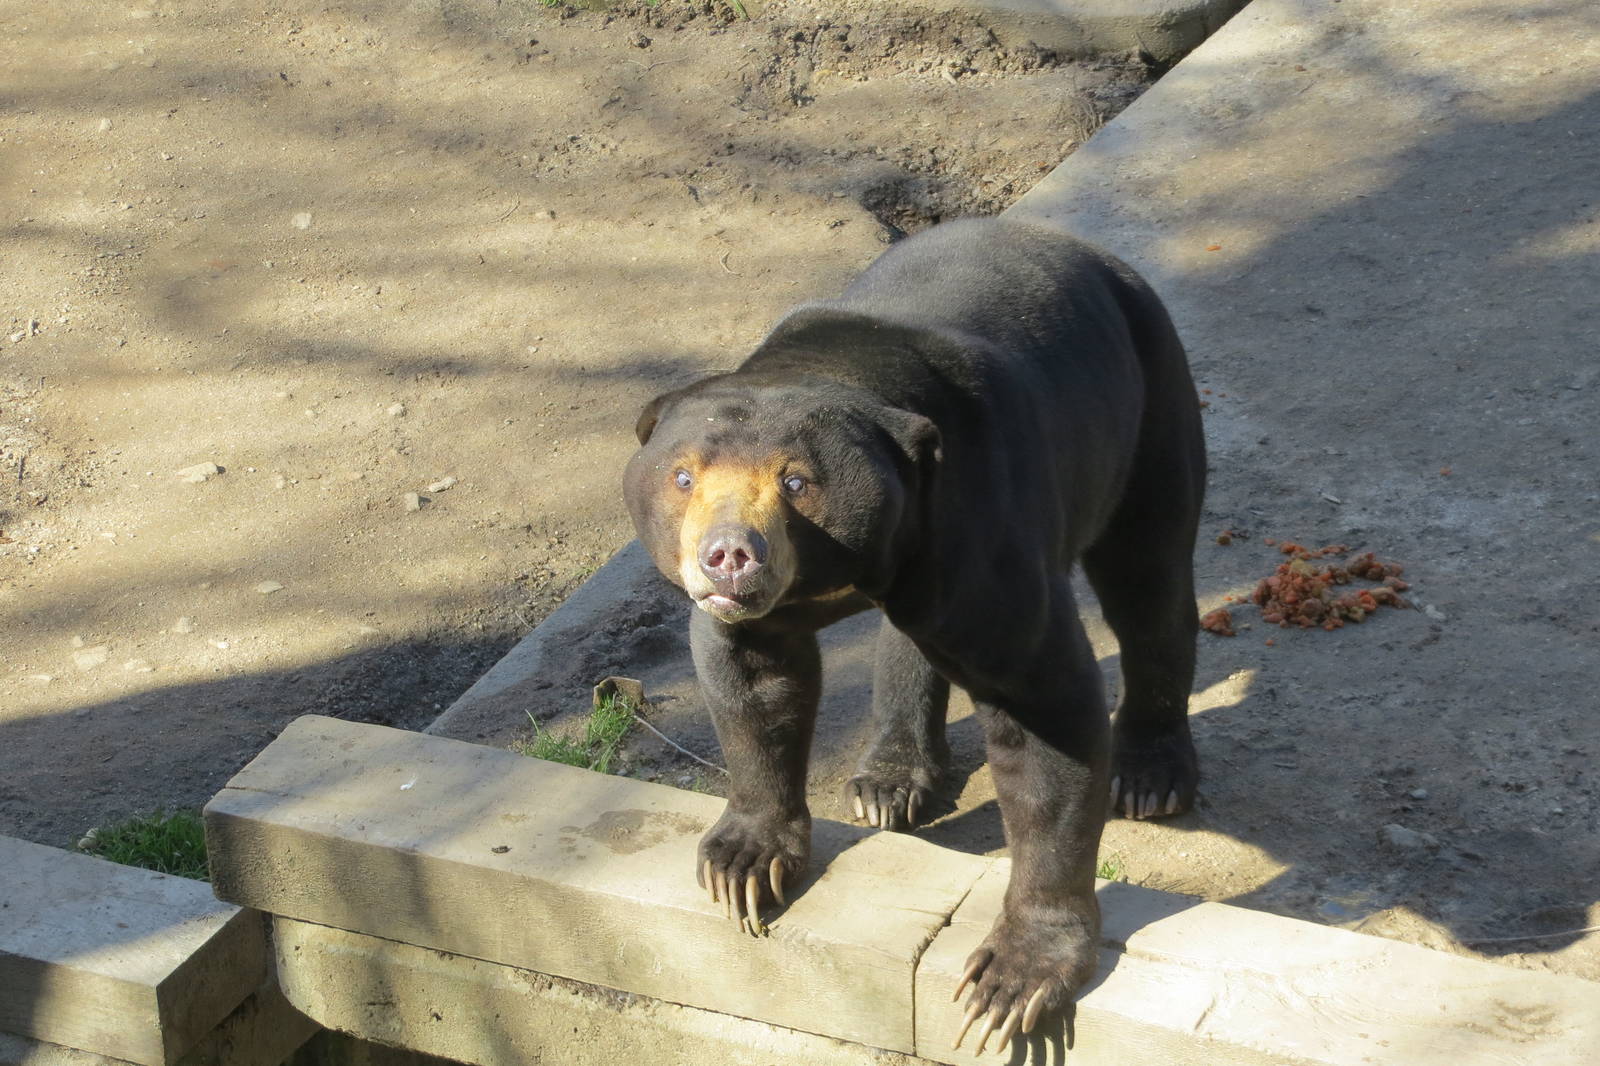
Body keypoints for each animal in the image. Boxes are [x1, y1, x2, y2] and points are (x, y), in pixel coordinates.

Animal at [623, 217, 1205, 1054]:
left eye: (797, 483)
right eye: (683, 477)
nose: (729, 555)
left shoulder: (978, 525)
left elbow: (1045, 717)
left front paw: (1012, 986)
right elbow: (753, 685)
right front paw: (742, 866)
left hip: (1149, 395)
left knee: (1150, 575)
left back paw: (1151, 776)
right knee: (915, 647)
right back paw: (888, 782)